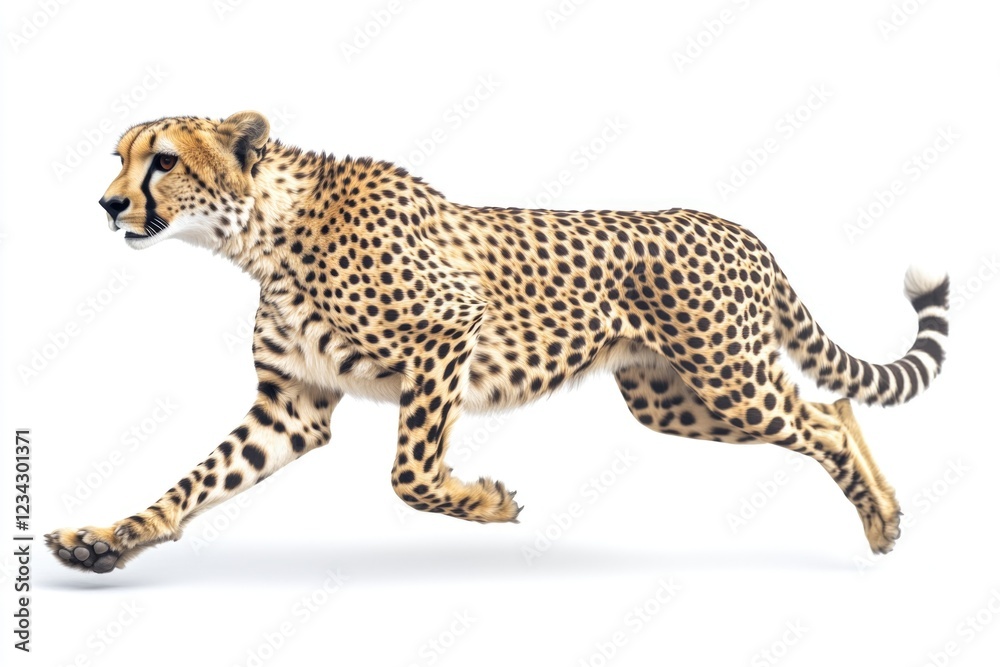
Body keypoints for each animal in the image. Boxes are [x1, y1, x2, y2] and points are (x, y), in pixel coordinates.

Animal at [46, 111, 949, 573]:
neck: (262, 230)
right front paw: (109, 537)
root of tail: (741, 229)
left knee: (825, 418)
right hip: (673, 398)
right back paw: (885, 513)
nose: (107, 204)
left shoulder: (449, 327)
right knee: (832, 407)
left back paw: (878, 516)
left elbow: (410, 470)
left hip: (729, 380)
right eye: (120, 158)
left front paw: (483, 500)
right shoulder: (291, 406)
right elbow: (196, 480)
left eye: (162, 161)